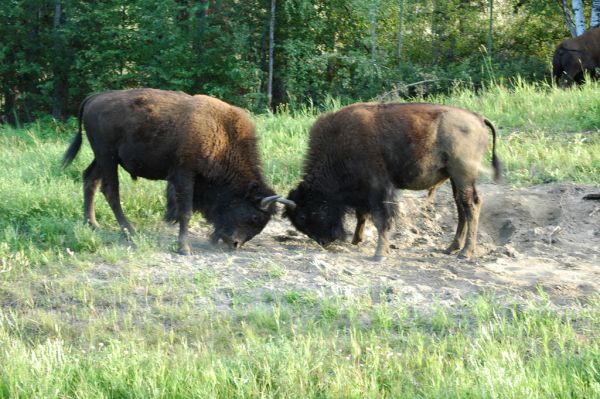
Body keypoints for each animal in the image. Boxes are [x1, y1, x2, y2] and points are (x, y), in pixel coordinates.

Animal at [62, 88, 288, 255]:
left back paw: (92, 224)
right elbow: (185, 211)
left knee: (90, 179)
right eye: (255, 217)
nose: (234, 244)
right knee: (111, 191)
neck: (222, 136)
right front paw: (184, 248)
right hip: (107, 157)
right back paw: (130, 231)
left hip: (103, 158)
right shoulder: (184, 175)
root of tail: (94, 98)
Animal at [282, 101, 502, 260]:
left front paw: (379, 254)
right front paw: (356, 240)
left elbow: (381, 218)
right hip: (455, 178)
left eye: (307, 213)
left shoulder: (378, 188)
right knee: (461, 207)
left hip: (462, 175)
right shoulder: (364, 192)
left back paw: (465, 254)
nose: (324, 241)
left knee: (471, 205)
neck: (340, 144)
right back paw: (451, 248)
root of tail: (477, 117)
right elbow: (363, 215)